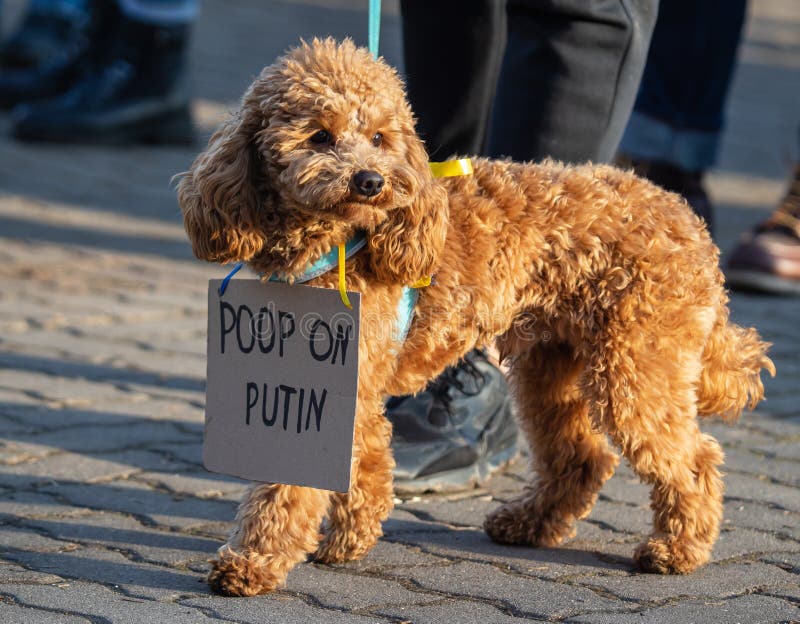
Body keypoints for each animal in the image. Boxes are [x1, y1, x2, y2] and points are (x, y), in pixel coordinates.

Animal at [177, 39, 776, 596]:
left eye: (379, 138)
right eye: (320, 136)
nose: (371, 181)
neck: (342, 243)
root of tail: (692, 226)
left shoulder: (329, 385)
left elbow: (290, 484)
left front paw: (255, 560)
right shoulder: (350, 385)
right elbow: (365, 462)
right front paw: (352, 538)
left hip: (636, 366)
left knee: (694, 458)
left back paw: (678, 549)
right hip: (552, 365)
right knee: (581, 458)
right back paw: (530, 523)